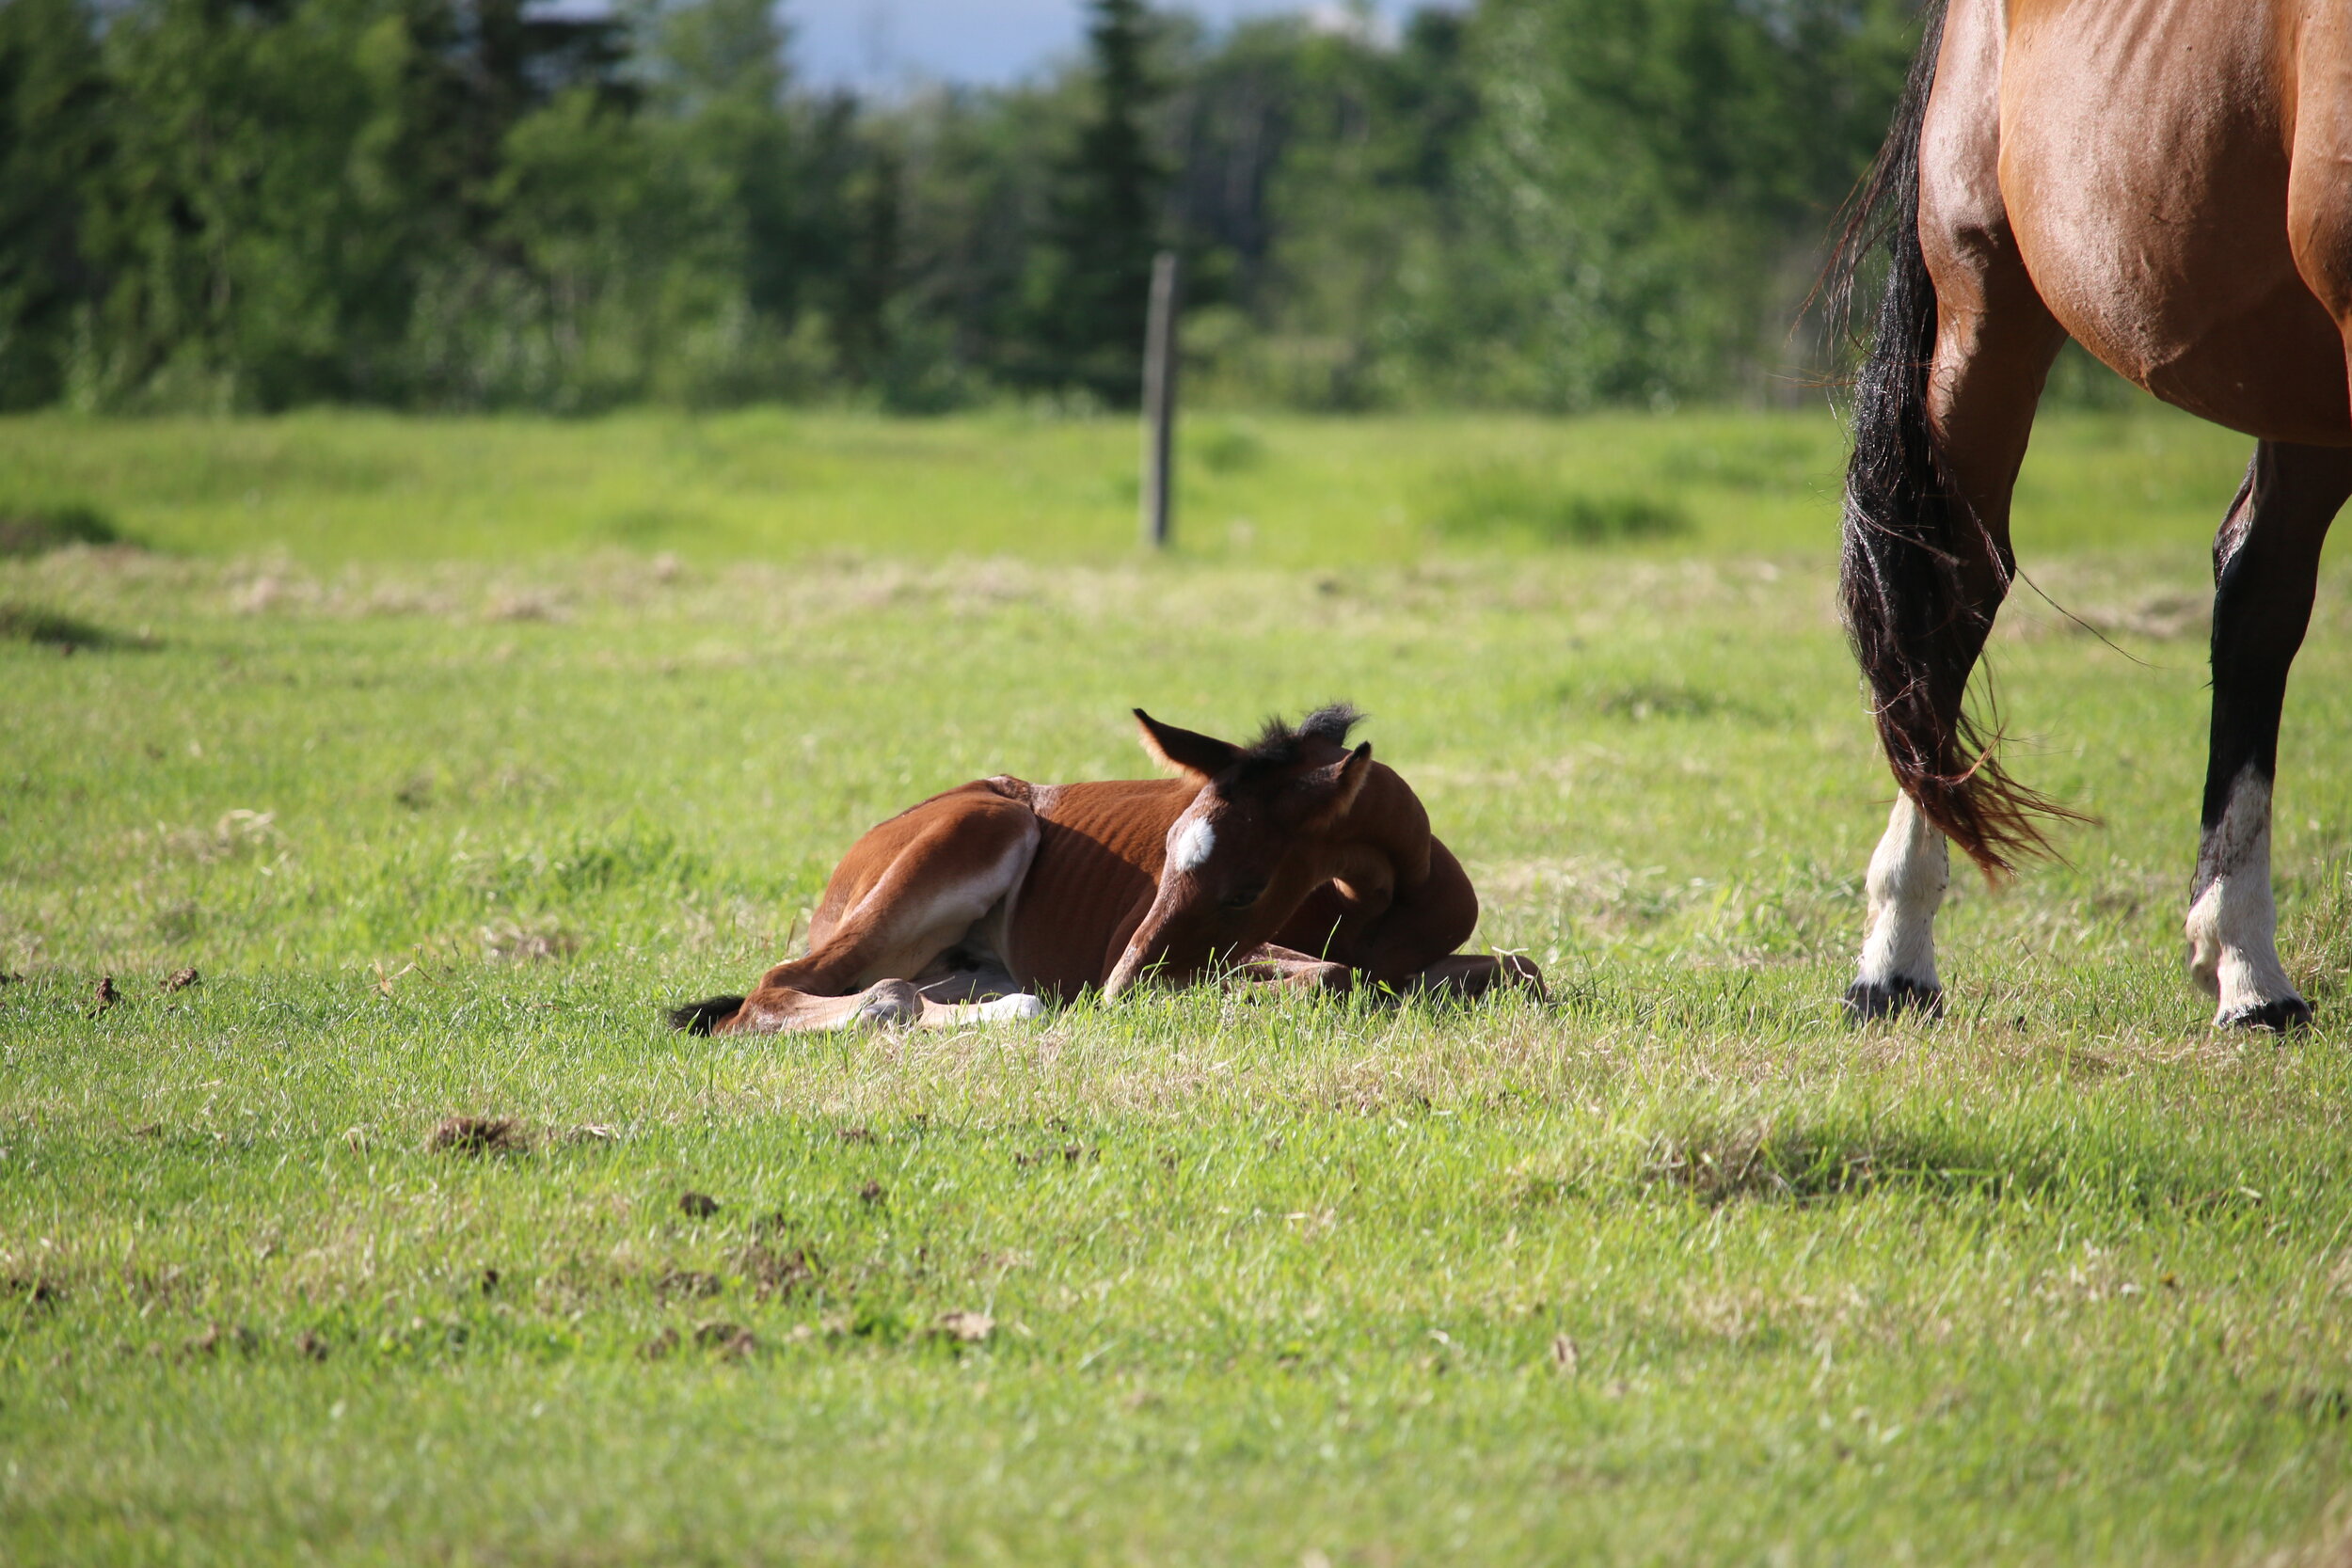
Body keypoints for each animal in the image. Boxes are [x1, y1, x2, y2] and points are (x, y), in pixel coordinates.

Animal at [668, 705, 1543, 1034]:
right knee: (781, 991)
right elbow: (1332, 975)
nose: (1120, 988)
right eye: (1165, 856)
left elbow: (1525, 969)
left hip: (964, 960)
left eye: (1249, 886)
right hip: (982, 827)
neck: (1376, 908)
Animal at [1835, 0, 2352, 1029]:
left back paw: (2246, 966)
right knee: (1952, 593)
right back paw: (1896, 958)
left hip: (2301, 380)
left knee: (2259, 597)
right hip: (1990, 305)